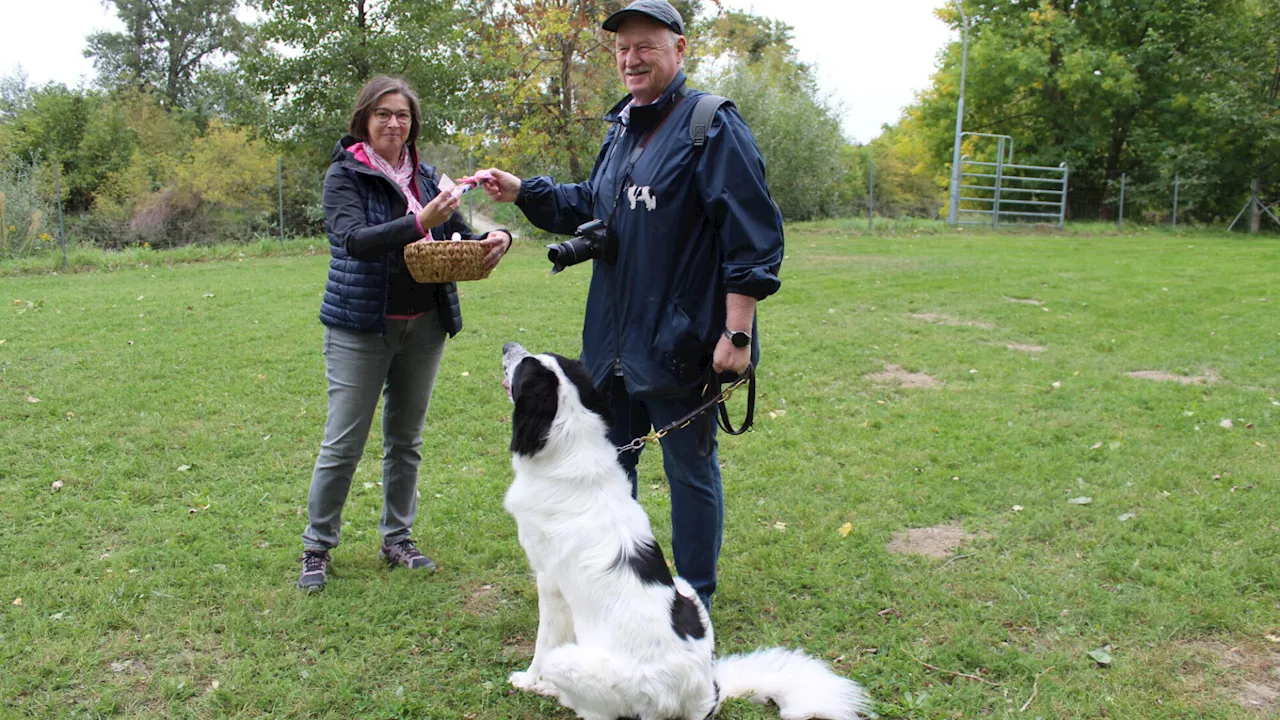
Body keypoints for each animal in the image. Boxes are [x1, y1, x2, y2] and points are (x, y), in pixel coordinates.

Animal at [499, 340, 870, 717]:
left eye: (524, 367)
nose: (507, 346)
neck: (572, 451)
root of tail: (703, 695)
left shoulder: (550, 584)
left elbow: (543, 643)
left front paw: (528, 679)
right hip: (685, 588)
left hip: (576, 664)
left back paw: (551, 689)